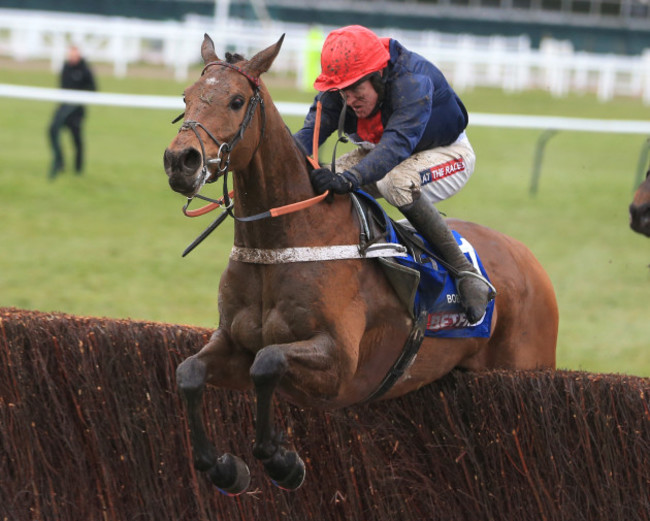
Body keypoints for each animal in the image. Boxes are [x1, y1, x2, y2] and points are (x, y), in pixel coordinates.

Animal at [162, 34, 556, 494]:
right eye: (186, 96)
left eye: (237, 101)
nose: (181, 161)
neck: (283, 241)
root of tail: (528, 259)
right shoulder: (233, 343)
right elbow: (189, 372)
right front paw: (225, 466)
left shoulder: (340, 366)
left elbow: (268, 363)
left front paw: (281, 459)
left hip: (527, 364)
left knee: (397, 182)